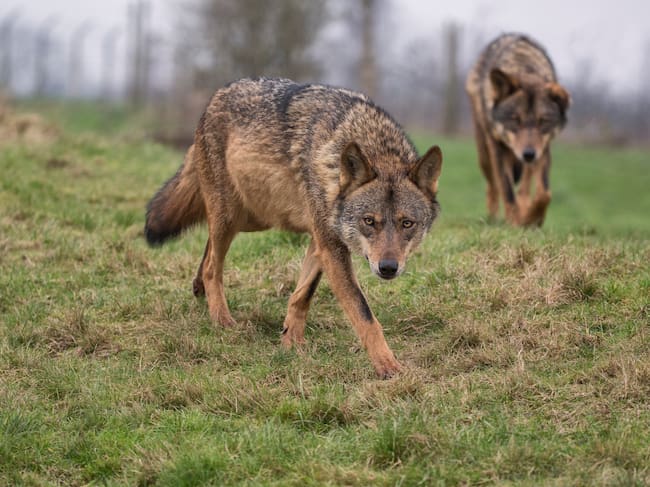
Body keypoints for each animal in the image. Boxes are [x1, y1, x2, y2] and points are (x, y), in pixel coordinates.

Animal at [144, 78, 443, 378]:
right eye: (369, 221)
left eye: (407, 224)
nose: (388, 268)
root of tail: (218, 94)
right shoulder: (331, 246)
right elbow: (364, 314)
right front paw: (388, 366)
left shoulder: (320, 241)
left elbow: (302, 295)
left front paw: (291, 343)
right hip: (232, 216)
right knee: (211, 267)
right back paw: (221, 319)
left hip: (253, 217)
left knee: (209, 248)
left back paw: (199, 291)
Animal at [465, 33, 570, 226]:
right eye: (515, 120)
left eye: (543, 121)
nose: (528, 154)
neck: (524, 67)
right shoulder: (498, 149)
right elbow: (507, 190)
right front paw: (513, 223)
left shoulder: (543, 150)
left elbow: (544, 193)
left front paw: (533, 219)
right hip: (484, 155)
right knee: (493, 186)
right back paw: (492, 218)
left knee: (524, 187)